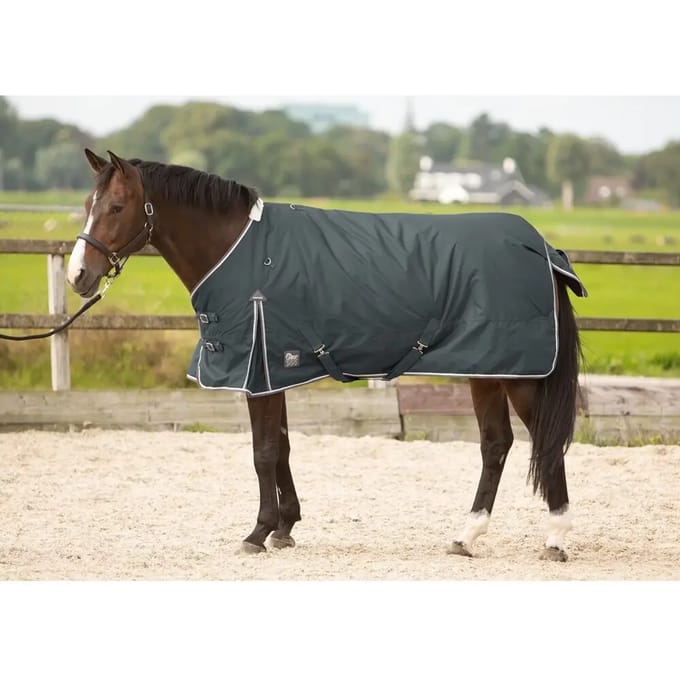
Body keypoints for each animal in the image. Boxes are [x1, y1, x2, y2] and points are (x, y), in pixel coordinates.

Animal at [67, 149, 585, 561]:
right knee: (496, 444)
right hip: (487, 368)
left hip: (518, 374)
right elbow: (282, 448)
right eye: (88, 206)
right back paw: (466, 536)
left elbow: (263, 452)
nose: (78, 276)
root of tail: (540, 248)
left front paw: (257, 532)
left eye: (116, 206)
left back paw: (556, 539)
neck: (239, 251)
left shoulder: (259, 371)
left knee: (542, 442)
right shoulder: (273, 370)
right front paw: (284, 527)